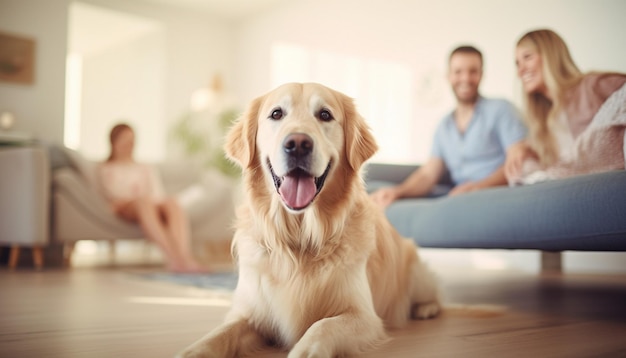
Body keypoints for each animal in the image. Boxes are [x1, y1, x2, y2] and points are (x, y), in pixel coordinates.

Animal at [176, 82, 438, 356]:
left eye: (325, 114)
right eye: (276, 114)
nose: (298, 144)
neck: (300, 239)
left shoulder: (363, 316)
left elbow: (322, 326)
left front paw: (305, 350)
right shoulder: (250, 313)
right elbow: (219, 334)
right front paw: (193, 350)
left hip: (416, 273)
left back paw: (426, 309)